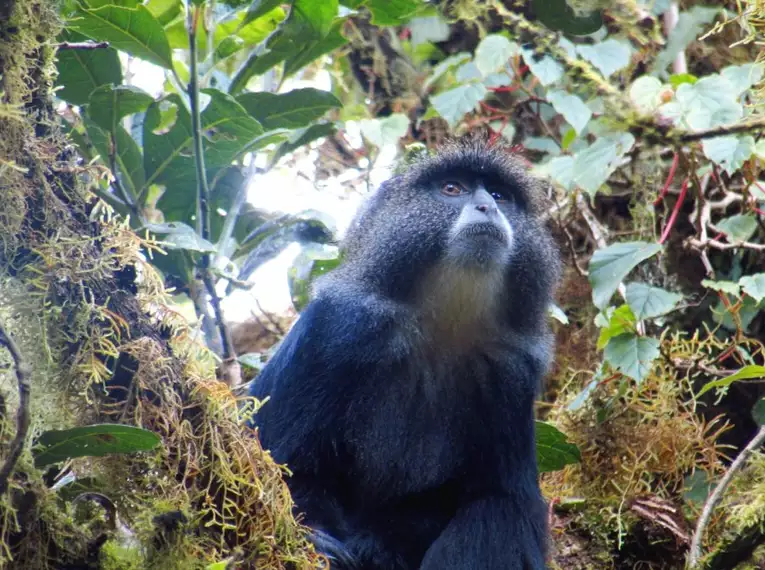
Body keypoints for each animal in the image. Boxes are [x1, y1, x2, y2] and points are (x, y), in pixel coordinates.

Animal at [248, 135, 560, 564]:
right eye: (452, 189)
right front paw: (323, 543)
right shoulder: (339, 327)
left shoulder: (511, 370)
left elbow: (507, 500)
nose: (488, 207)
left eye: (500, 195)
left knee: (495, 511)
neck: (444, 323)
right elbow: (285, 466)